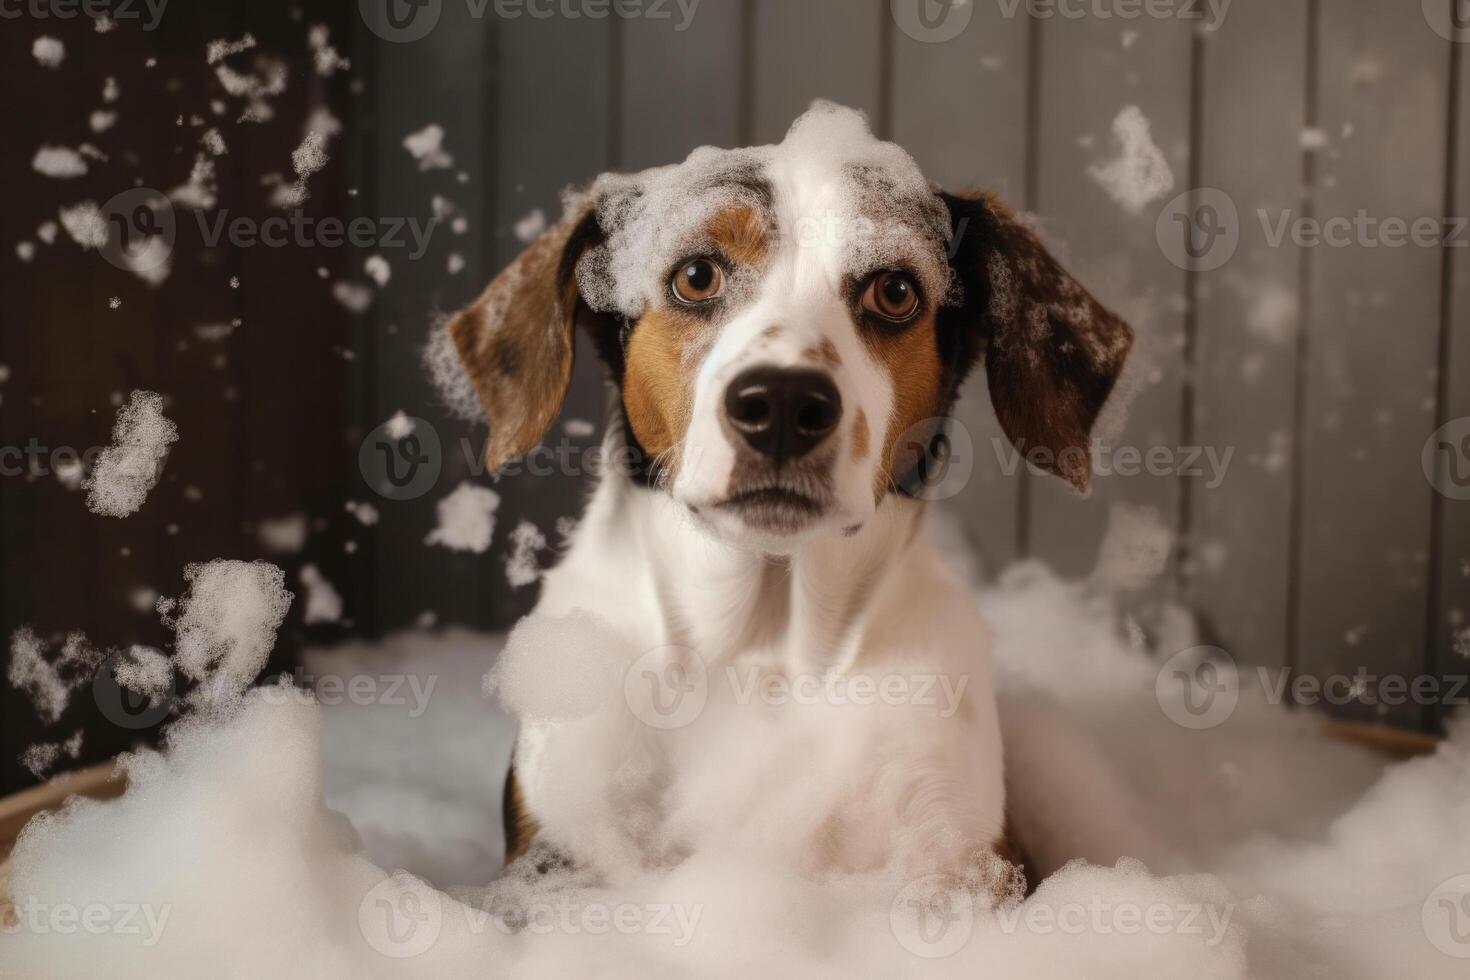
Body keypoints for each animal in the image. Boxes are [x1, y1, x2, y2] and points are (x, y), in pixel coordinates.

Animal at [441, 103, 1128, 893]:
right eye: (697, 275)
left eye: (895, 290)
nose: (782, 404)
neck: (762, 652)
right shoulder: (550, 854)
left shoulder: (964, 857)